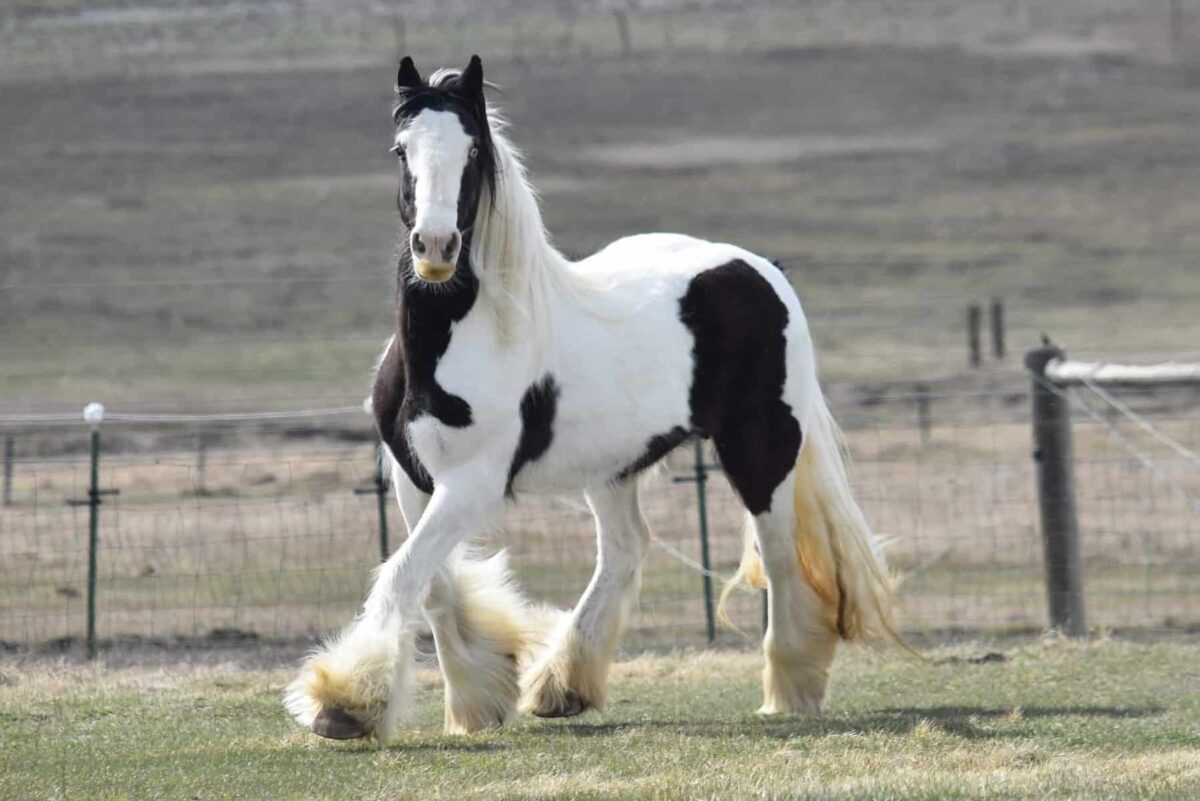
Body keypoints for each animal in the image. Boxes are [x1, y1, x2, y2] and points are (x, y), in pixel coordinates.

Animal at [285, 55, 896, 743]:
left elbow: (402, 575)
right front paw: (477, 696)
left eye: (474, 150)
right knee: (625, 550)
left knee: (780, 553)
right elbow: (431, 582)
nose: (435, 248)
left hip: (761, 448)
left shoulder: (471, 483)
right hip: (614, 469)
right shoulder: (413, 479)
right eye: (401, 148)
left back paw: (789, 690)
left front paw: (344, 702)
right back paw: (562, 686)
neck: (459, 342)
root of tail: (760, 269)